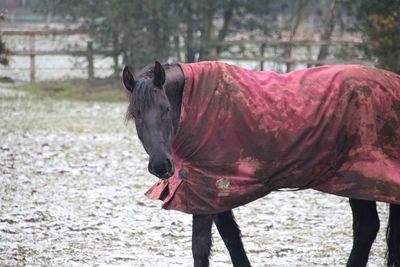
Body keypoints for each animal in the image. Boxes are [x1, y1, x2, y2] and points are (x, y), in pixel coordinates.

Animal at [122, 61, 400, 267]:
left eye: (166, 109)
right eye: (135, 114)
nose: (161, 165)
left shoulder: (203, 189)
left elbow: (200, 246)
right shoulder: (216, 190)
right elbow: (231, 237)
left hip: (361, 179)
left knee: (365, 229)